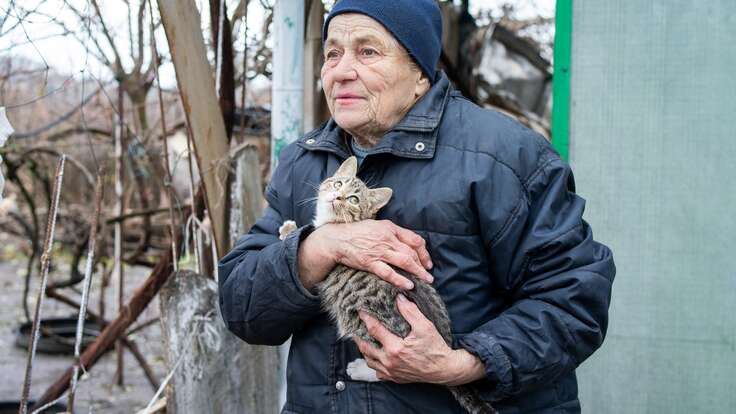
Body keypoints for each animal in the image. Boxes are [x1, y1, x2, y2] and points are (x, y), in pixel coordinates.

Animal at [278, 156, 498, 414]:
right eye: (338, 184)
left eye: (353, 199)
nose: (338, 196)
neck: (331, 221)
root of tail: (442, 339)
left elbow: (313, 234)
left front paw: (289, 230)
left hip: (365, 324)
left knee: (392, 369)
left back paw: (362, 369)